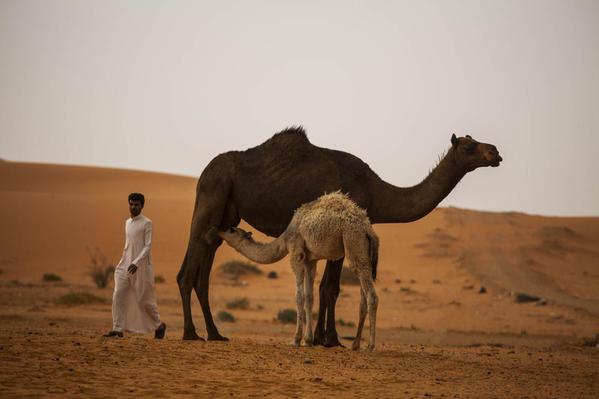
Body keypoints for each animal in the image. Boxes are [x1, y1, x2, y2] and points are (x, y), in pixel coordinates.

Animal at [219, 192, 380, 352]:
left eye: (232, 229)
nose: (219, 230)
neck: (285, 239)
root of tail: (369, 230)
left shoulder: (296, 252)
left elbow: (299, 296)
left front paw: (296, 339)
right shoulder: (310, 260)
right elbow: (309, 297)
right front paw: (308, 340)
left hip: (353, 240)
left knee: (371, 295)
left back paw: (370, 346)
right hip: (364, 252)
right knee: (363, 297)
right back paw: (355, 344)